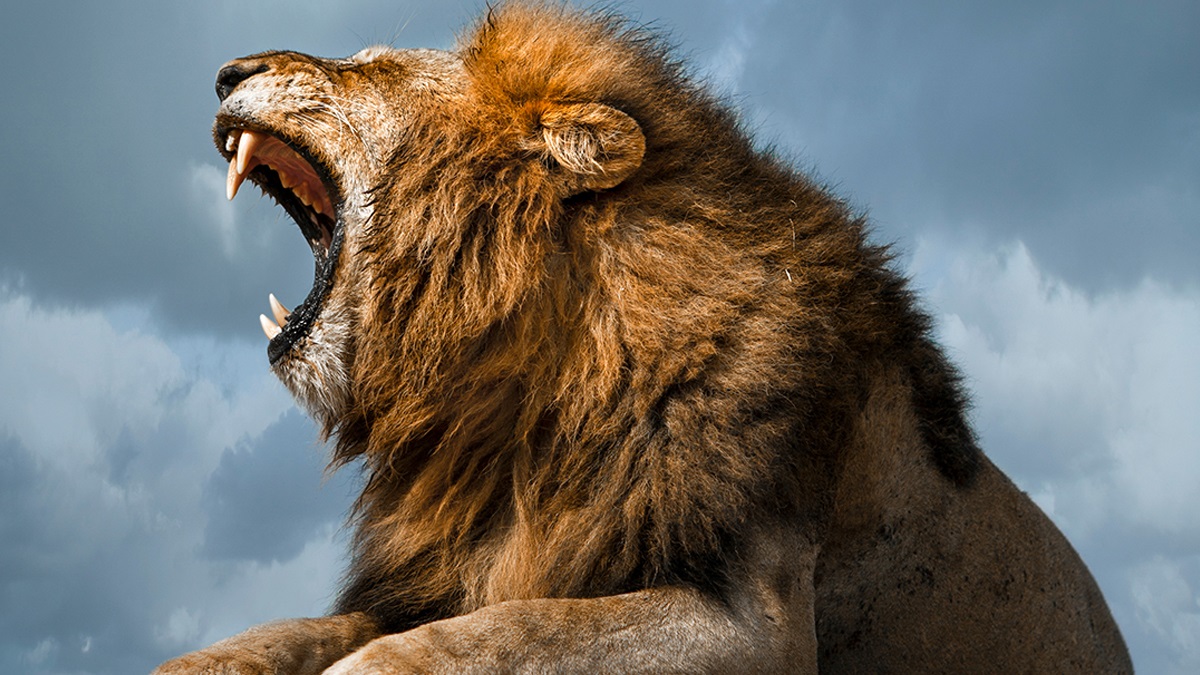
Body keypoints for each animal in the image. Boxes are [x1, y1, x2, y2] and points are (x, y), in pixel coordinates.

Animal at [155, 3, 1132, 673]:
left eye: (372, 66)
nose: (224, 72)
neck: (518, 398)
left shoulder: (758, 620)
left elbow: (499, 634)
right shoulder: (452, 567)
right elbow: (280, 634)